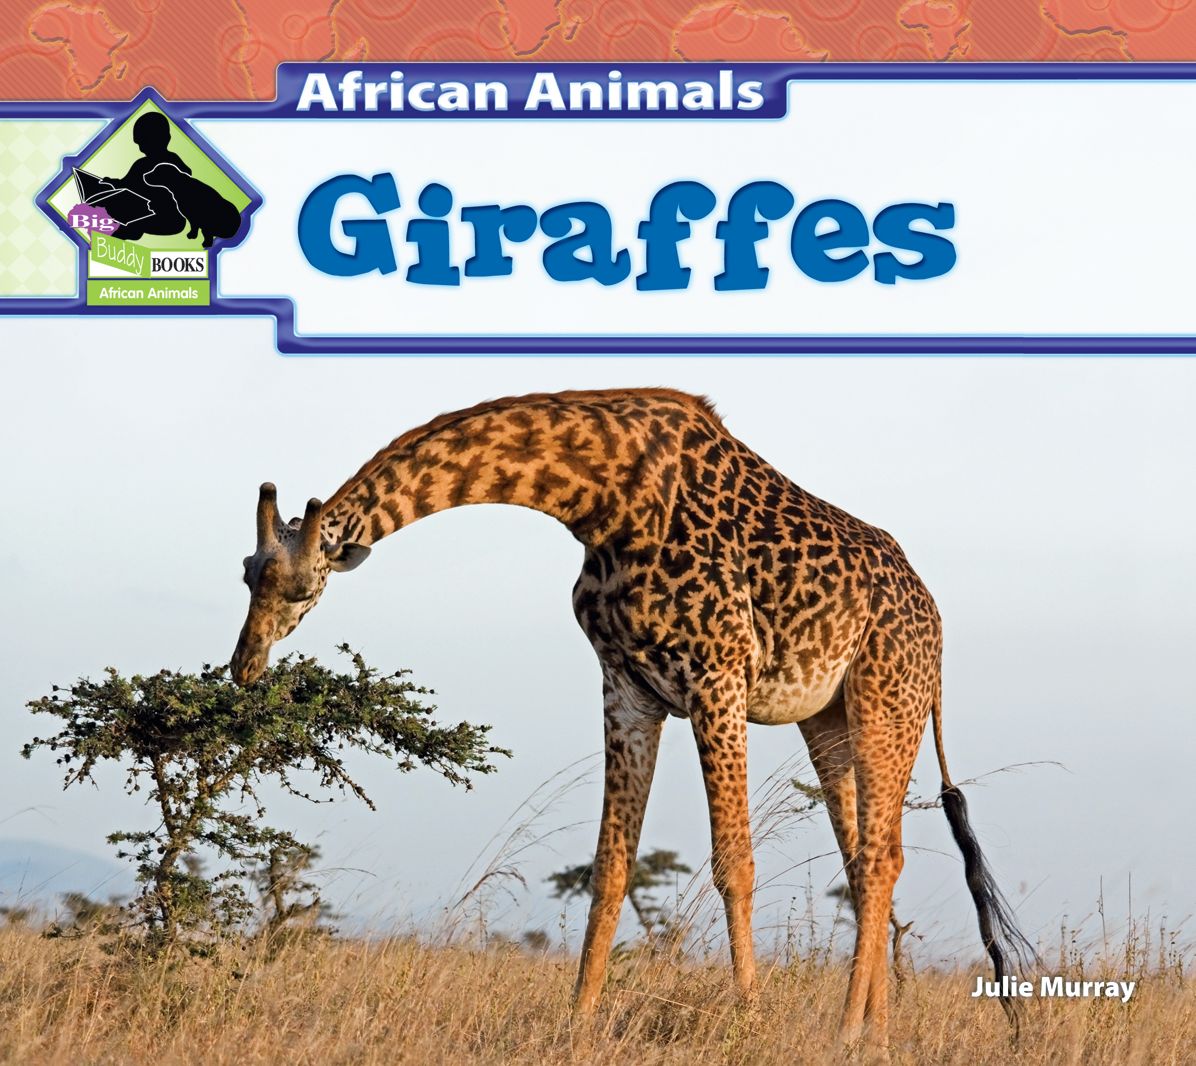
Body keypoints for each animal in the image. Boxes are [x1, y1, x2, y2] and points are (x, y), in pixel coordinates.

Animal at [230, 388, 1033, 1050]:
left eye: (297, 587)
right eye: (245, 573)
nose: (243, 665)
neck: (600, 499)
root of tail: (935, 626)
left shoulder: (717, 677)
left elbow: (733, 863)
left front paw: (748, 1024)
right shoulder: (627, 689)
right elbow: (611, 868)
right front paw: (576, 1024)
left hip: (883, 703)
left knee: (880, 856)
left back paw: (849, 1034)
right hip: (828, 719)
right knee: (869, 860)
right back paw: (870, 1034)